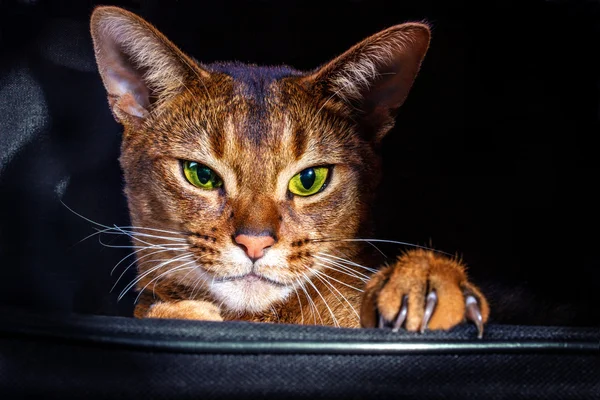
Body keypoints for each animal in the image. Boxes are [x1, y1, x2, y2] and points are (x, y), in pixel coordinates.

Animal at [91, 6, 490, 336]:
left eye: (309, 180)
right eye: (199, 174)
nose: (254, 243)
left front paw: (425, 282)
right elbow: (151, 311)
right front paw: (181, 311)